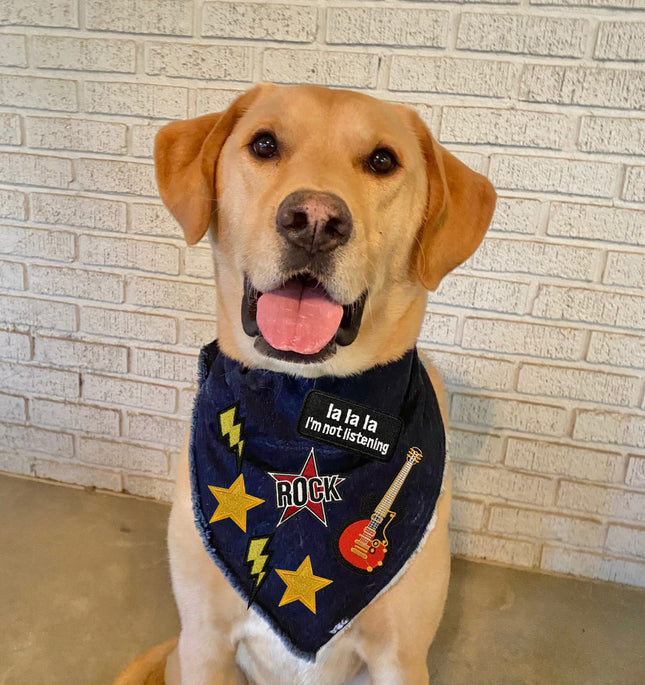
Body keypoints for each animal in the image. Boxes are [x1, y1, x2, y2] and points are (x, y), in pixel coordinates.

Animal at [114, 83, 494, 680]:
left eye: (382, 160)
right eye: (264, 144)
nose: (314, 220)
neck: (302, 409)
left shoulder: (402, 657)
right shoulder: (203, 641)